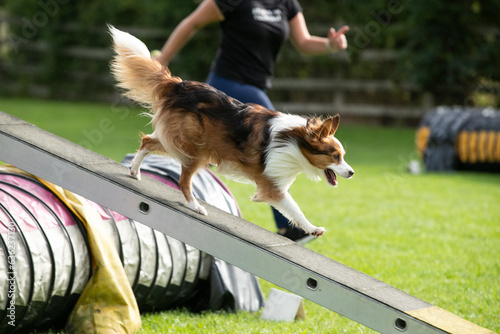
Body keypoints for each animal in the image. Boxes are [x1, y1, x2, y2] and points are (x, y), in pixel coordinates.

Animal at [108, 24, 356, 236]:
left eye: (343, 156)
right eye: (336, 156)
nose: (352, 172)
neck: (295, 141)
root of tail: (178, 85)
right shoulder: (272, 185)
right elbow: (295, 208)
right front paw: (313, 229)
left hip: (181, 141)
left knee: (147, 142)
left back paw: (134, 171)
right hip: (196, 149)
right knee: (183, 180)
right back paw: (195, 206)